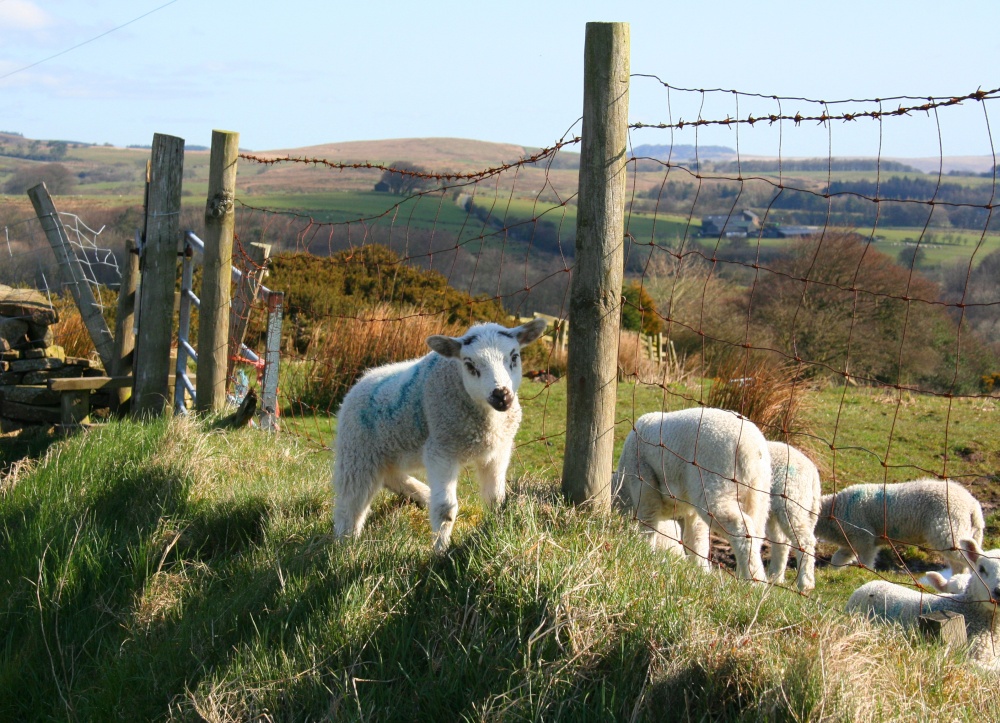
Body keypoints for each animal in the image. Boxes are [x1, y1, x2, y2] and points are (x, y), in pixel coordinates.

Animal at [332, 317, 548, 552]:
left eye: (514, 356)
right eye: (469, 364)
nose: (502, 396)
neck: (487, 422)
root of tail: (363, 378)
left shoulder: (498, 450)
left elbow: (495, 499)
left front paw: (495, 531)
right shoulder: (441, 450)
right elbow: (446, 509)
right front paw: (441, 552)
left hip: (387, 451)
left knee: (390, 475)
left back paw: (422, 494)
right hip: (357, 450)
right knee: (351, 501)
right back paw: (345, 544)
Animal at [613, 407, 772, 581]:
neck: (623, 488)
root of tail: (750, 448)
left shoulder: (644, 484)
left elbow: (648, 524)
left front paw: (645, 552)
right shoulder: (690, 510)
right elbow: (695, 539)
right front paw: (701, 572)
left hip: (715, 483)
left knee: (741, 527)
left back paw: (754, 581)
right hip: (759, 492)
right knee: (756, 531)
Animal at [766, 441, 822, 592]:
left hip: (791, 501)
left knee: (804, 541)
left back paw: (805, 583)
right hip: (776, 509)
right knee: (781, 542)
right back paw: (775, 577)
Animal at [814, 478, 985, 573]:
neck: (834, 510)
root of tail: (972, 505)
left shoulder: (864, 537)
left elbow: (866, 560)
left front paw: (866, 574)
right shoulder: (851, 540)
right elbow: (838, 557)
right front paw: (835, 571)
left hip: (949, 527)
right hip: (967, 531)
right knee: (960, 564)